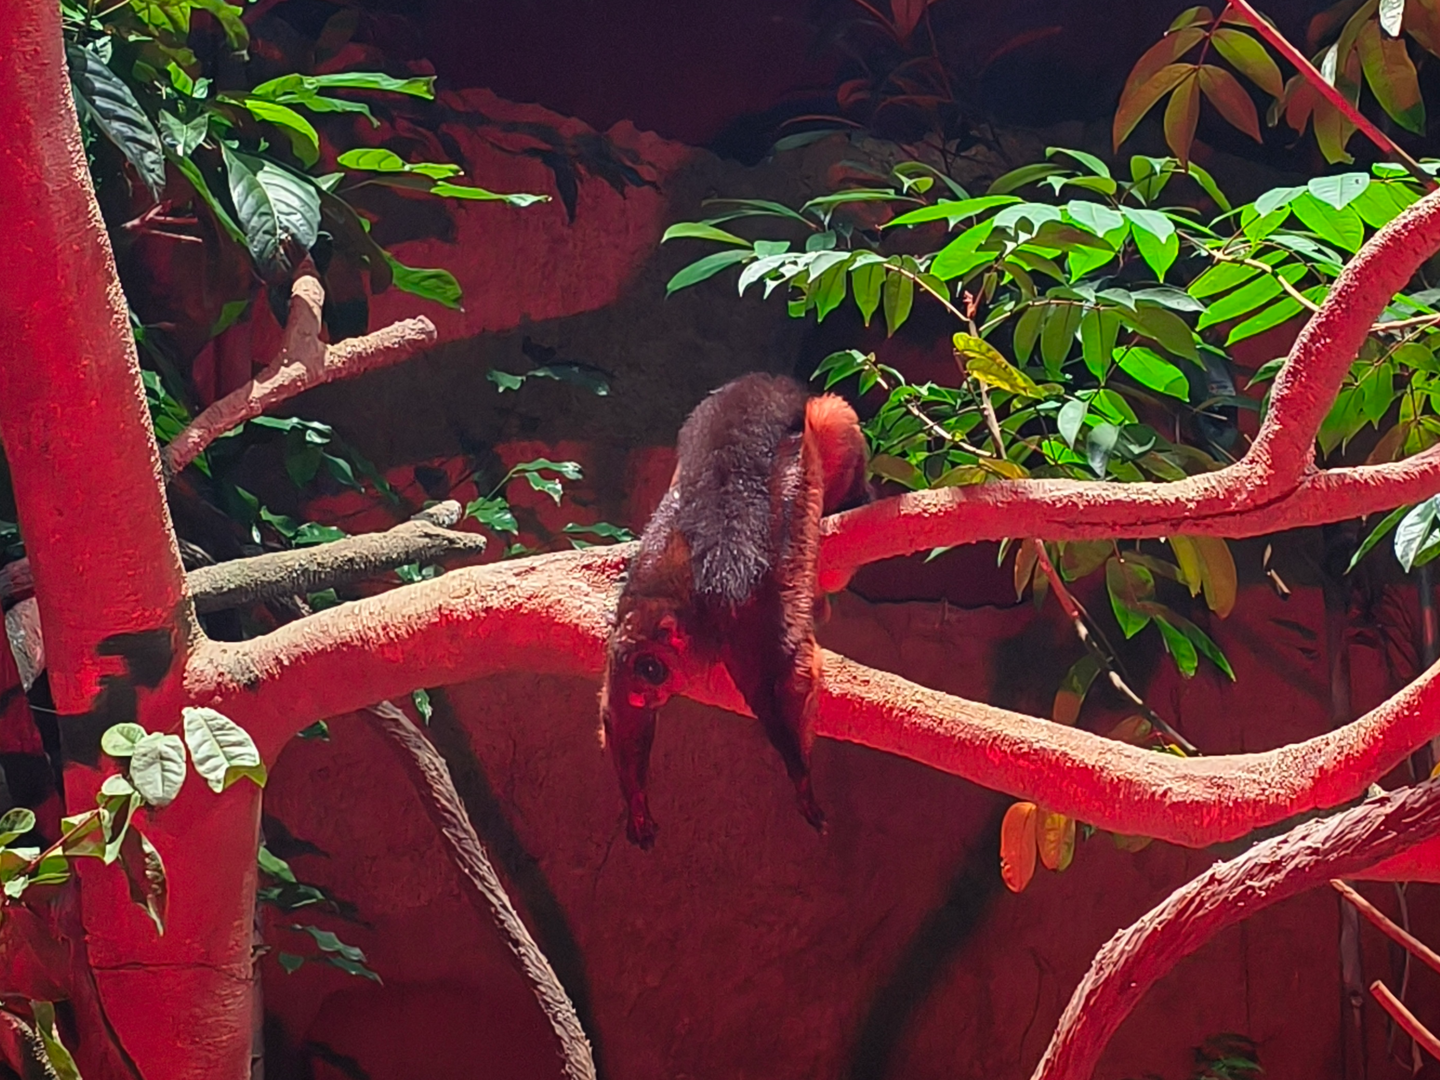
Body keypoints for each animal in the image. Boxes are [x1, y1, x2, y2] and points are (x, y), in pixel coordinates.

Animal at [599, 373, 869, 848]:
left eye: (651, 669)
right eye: (638, 676)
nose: (642, 692)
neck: (679, 602)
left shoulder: (740, 611)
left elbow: (788, 674)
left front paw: (802, 783)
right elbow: (620, 717)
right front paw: (636, 804)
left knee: (829, 416)